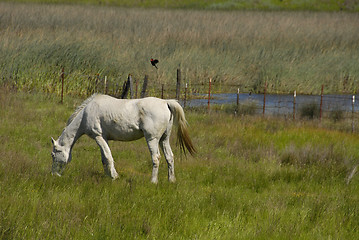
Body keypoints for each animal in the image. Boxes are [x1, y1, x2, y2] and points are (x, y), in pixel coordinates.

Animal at [51, 94, 195, 184]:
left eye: (53, 154)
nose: (54, 175)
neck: (86, 113)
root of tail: (166, 102)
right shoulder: (103, 138)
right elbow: (104, 159)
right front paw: (107, 176)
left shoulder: (98, 136)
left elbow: (108, 157)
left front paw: (114, 176)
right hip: (164, 139)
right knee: (170, 157)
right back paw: (171, 180)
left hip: (152, 139)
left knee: (156, 158)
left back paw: (153, 181)